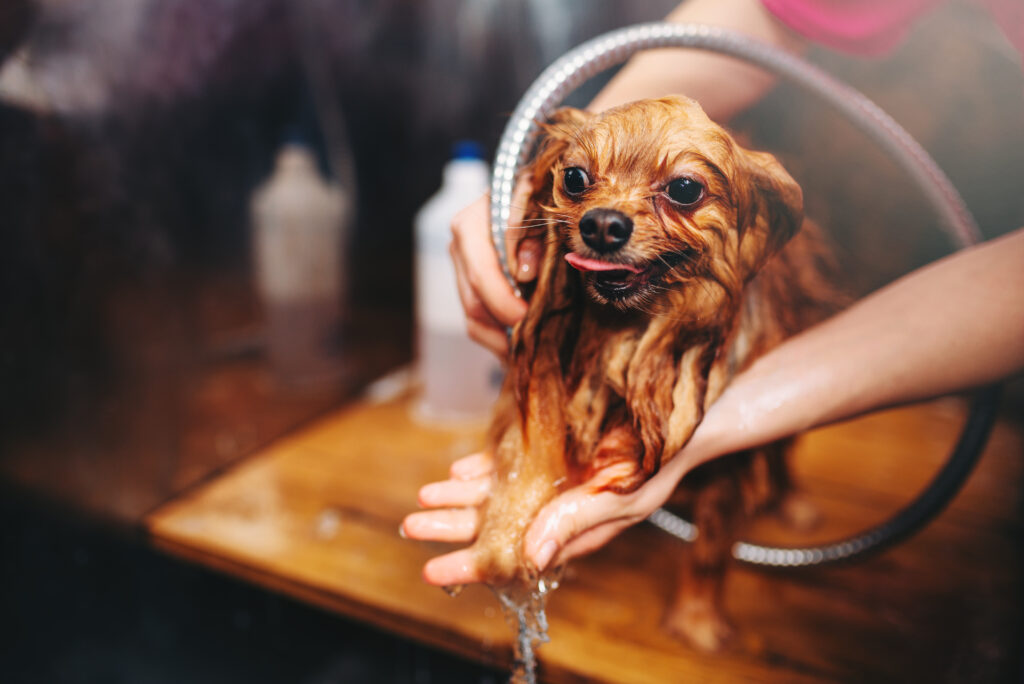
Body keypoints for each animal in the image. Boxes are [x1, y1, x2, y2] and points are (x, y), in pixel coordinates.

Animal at [471, 94, 839, 647]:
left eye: (685, 189)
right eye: (574, 178)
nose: (602, 224)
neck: (629, 334)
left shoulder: (725, 462)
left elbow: (710, 548)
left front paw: (696, 619)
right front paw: (511, 535)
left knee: (782, 450)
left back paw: (792, 501)